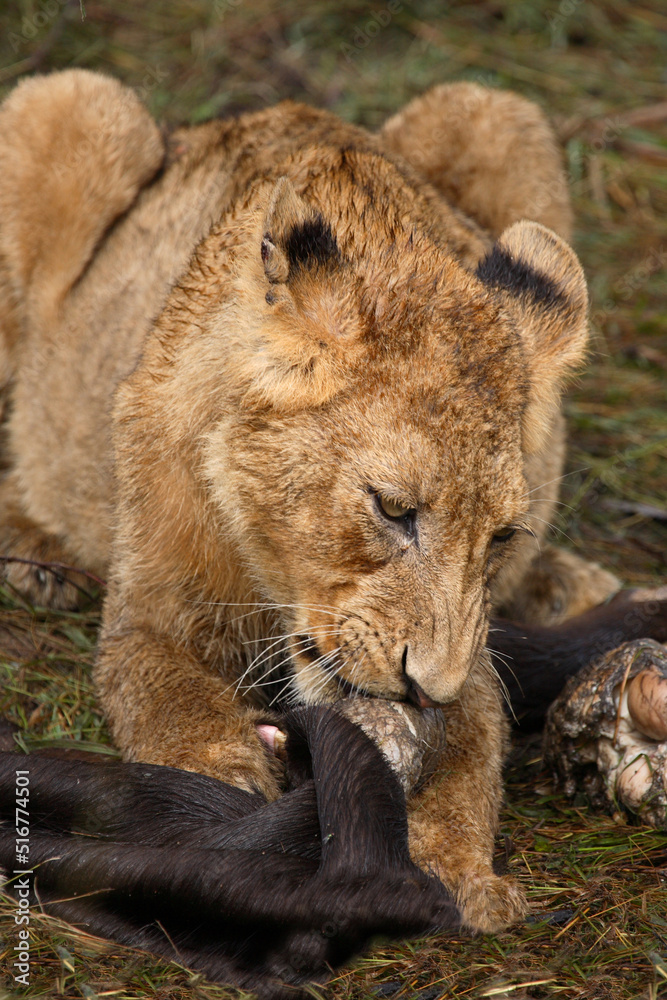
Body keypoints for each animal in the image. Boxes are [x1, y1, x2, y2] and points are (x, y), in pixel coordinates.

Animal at [0, 70, 620, 933]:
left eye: (499, 537)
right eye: (391, 509)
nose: (425, 687)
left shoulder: (469, 649)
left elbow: (472, 750)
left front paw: (462, 872)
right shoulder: (150, 612)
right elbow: (167, 696)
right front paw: (217, 777)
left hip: (496, 112)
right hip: (68, 103)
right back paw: (36, 551)